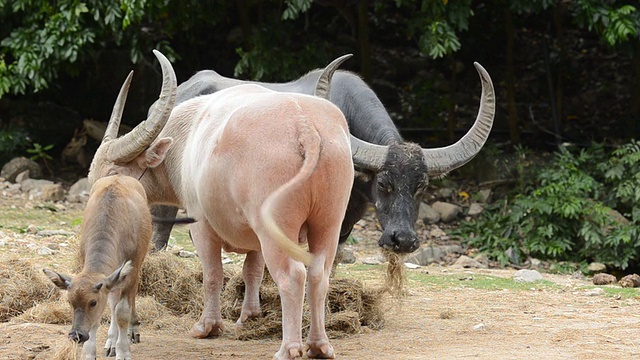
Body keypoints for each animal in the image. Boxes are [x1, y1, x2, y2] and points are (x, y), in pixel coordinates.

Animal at [87, 50, 388, 358]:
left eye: (114, 173)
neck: (186, 137)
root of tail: (305, 126)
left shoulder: (201, 225)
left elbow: (212, 274)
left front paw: (207, 327)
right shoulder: (255, 237)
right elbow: (251, 270)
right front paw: (248, 317)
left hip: (277, 228)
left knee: (292, 276)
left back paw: (288, 348)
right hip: (328, 222)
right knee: (319, 274)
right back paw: (318, 345)